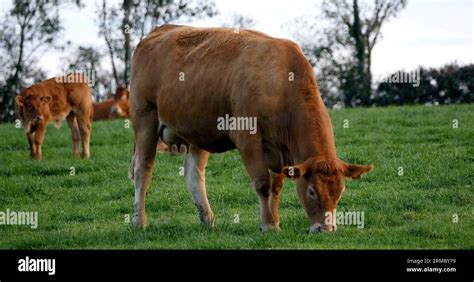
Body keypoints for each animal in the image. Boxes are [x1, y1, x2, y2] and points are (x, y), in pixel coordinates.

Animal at [130, 24, 374, 232]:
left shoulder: (278, 151)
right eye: (312, 191)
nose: (326, 229)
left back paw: (208, 220)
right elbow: (262, 183)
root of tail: (160, 30)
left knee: (194, 176)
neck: (281, 83)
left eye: (340, 191)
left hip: (196, 132)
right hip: (145, 120)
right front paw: (268, 225)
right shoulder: (247, 138)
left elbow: (275, 187)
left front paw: (274, 222)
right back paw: (139, 222)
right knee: (143, 171)